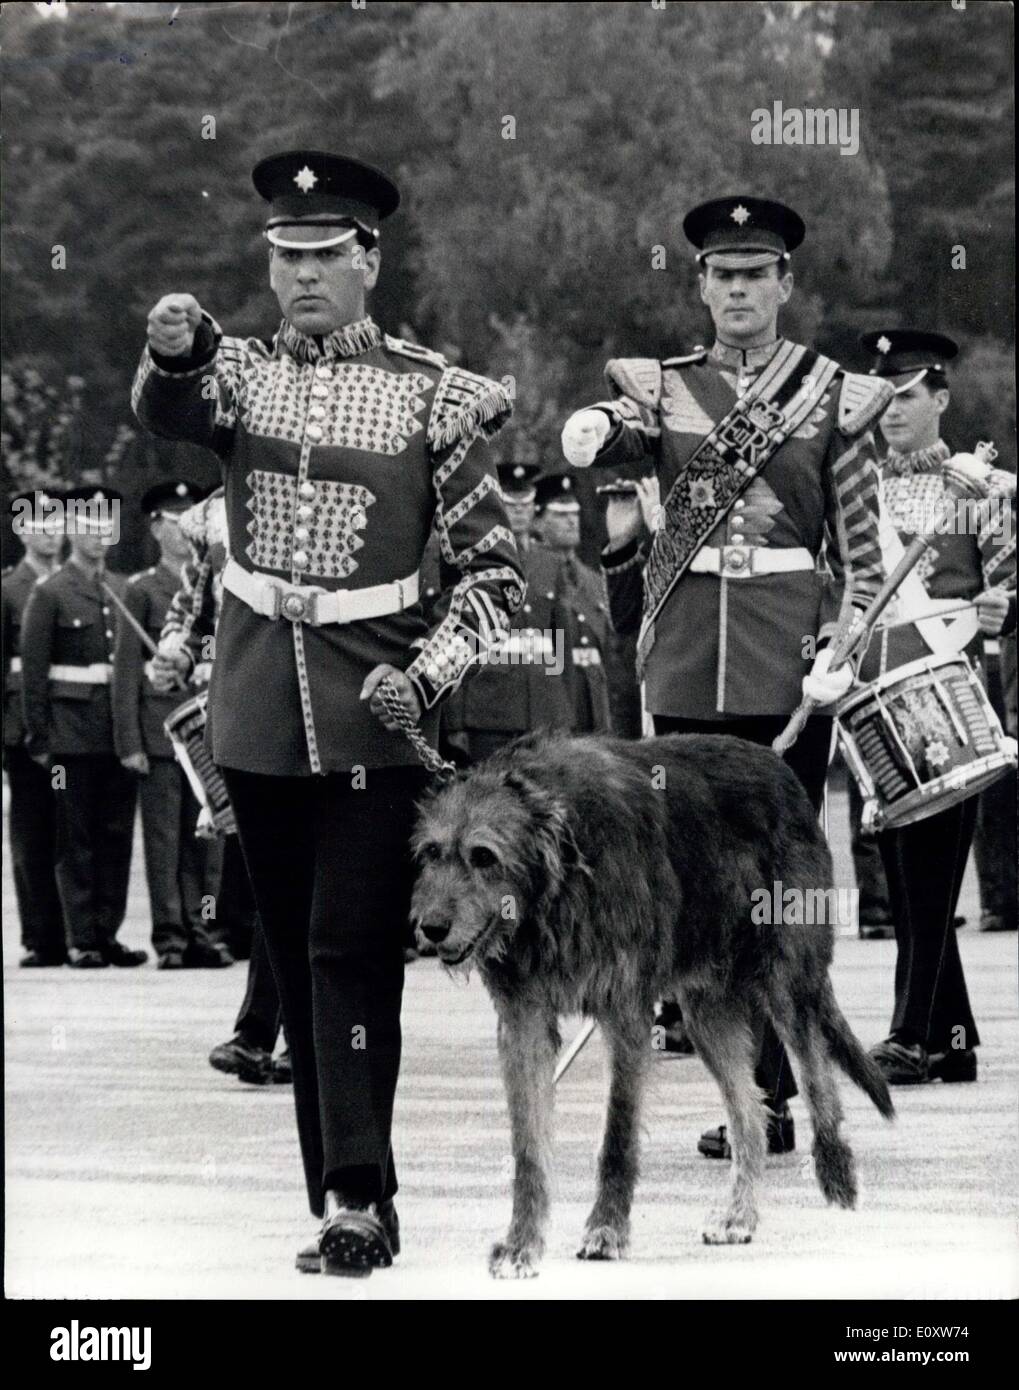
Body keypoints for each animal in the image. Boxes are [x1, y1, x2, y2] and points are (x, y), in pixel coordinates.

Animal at [408, 733, 889, 1273]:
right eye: (431, 853)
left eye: (484, 856)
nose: (430, 928)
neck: (562, 880)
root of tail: (777, 763)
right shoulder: (523, 1021)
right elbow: (528, 1148)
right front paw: (522, 1244)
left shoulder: (625, 1013)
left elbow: (618, 1134)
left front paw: (606, 1229)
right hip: (705, 1013)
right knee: (750, 1115)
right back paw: (739, 1216)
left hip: (788, 980)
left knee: (815, 1075)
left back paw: (836, 1174)